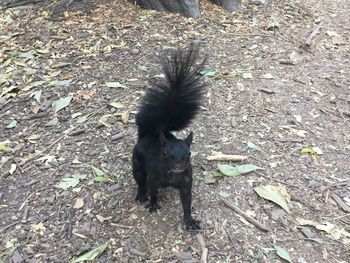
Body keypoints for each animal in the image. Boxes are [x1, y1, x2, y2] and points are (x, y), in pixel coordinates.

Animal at [133, 45, 206, 231]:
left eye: (189, 153)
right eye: (165, 154)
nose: (179, 165)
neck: (174, 175)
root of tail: (148, 135)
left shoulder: (187, 183)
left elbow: (187, 203)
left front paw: (190, 220)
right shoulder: (153, 178)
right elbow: (152, 192)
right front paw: (152, 204)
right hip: (137, 166)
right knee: (140, 181)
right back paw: (141, 194)